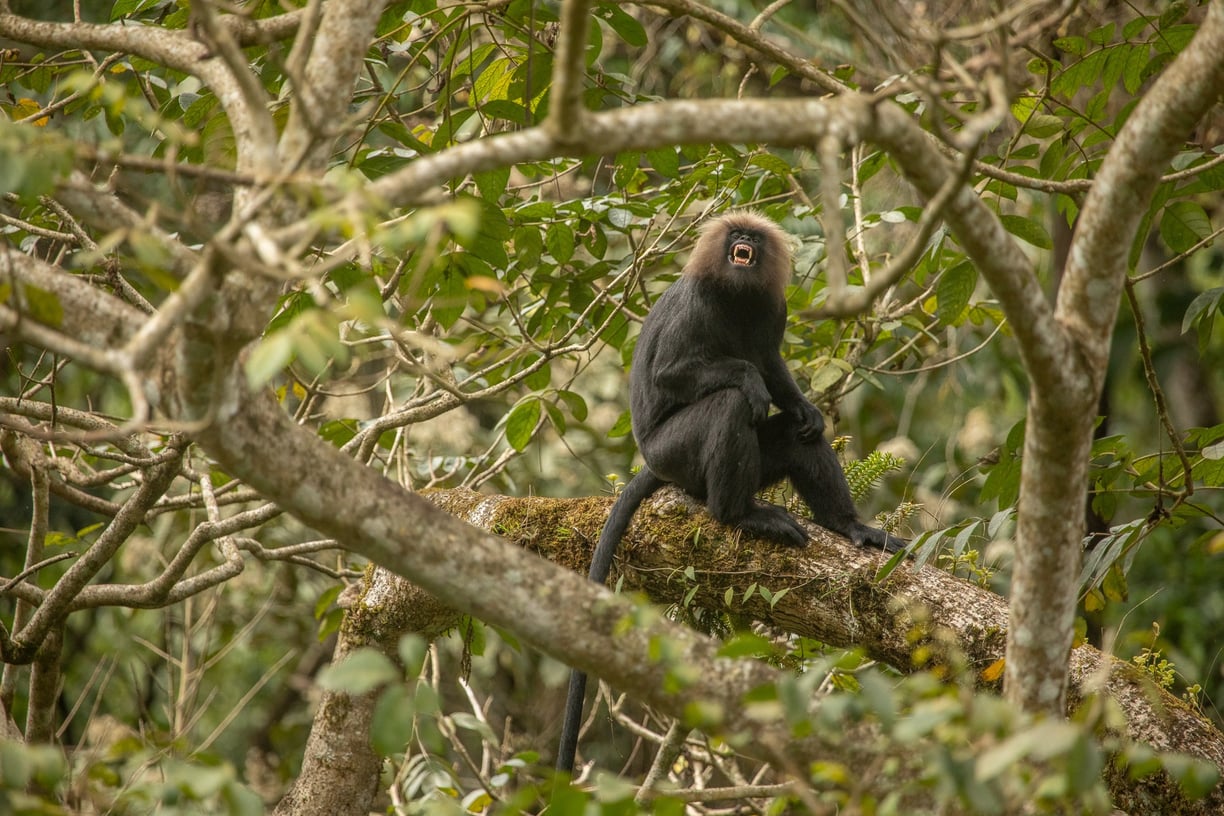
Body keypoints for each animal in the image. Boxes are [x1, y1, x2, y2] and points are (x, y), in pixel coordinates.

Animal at [555, 209, 900, 773]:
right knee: (728, 405)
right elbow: (678, 373)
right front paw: (749, 381)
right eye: (736, 236)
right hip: (676, 452)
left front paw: (805, 406)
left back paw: (850, 526)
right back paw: (737, 514)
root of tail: (655, 463)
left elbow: (774, 369)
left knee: (798, 436)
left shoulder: (772, 308)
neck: (735, 295)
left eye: (753, 238)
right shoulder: (697, 303)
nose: (741, 241)